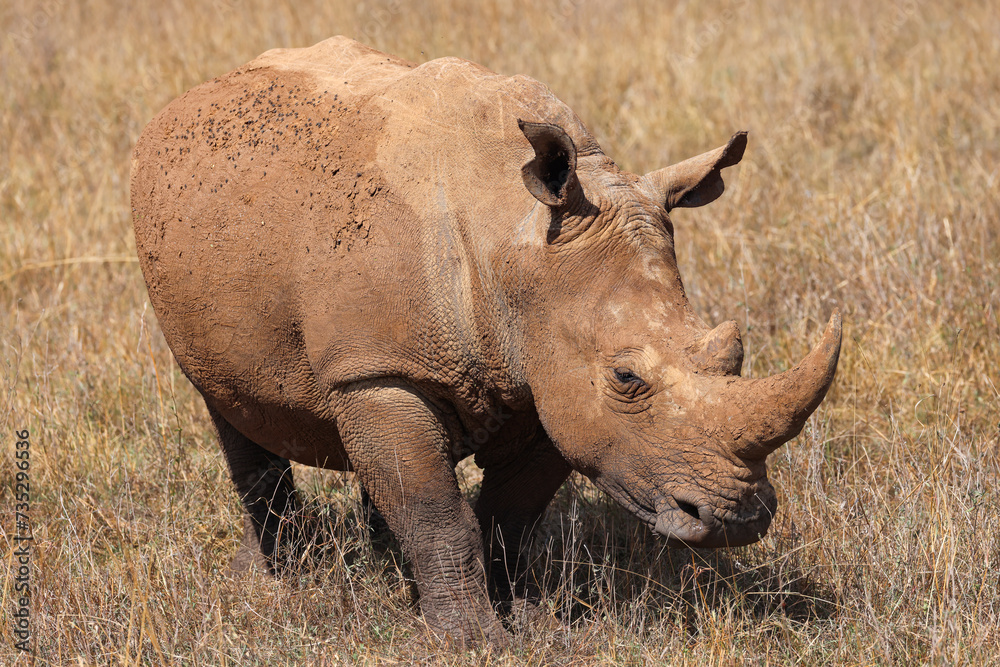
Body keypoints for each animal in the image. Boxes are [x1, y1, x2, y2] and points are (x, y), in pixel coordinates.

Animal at [130, 36, 841, 644]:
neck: (517, 245)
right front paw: (472, 641)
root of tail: (191, 97)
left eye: (733, 352)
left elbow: (508, 512)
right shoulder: (383, 368)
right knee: (232, 410)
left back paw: (381, 567)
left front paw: (530, 620)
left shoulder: (549, 375)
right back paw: (281, 581)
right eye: (626, 378)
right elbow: (435, 511)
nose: (739, 519)